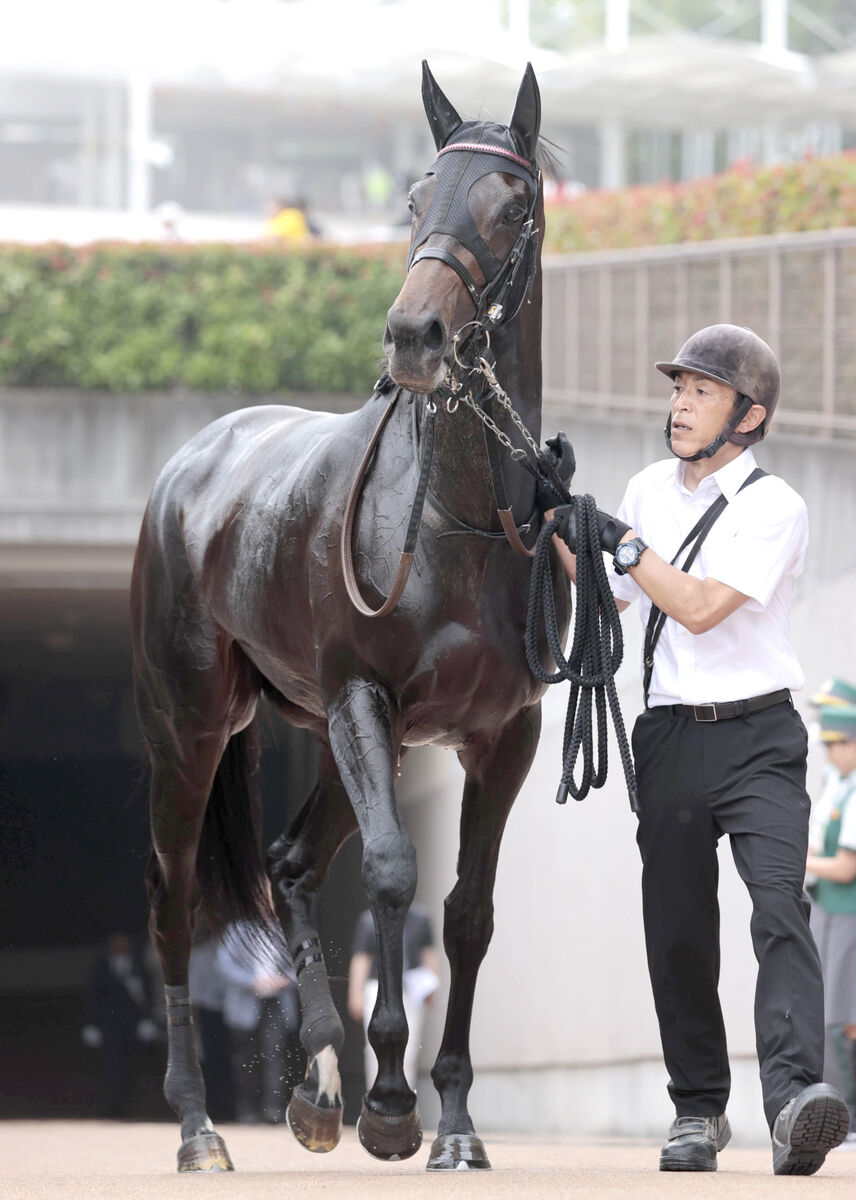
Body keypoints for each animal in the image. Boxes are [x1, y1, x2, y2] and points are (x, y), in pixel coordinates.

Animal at [132, 58, 566, 1171]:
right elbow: (391, 873)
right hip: (194, 725)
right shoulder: (366, 698)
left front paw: (454, 1122)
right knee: (172, 897)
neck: (457, 519)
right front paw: (393, 1104)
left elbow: (467, 913)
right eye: (414, 198)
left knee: (288, 864)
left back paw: (318, 1083)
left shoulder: (502, 733)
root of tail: (194, 463)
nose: (414, 335)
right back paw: (200, 1126)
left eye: (514, 204)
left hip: (328, 732)